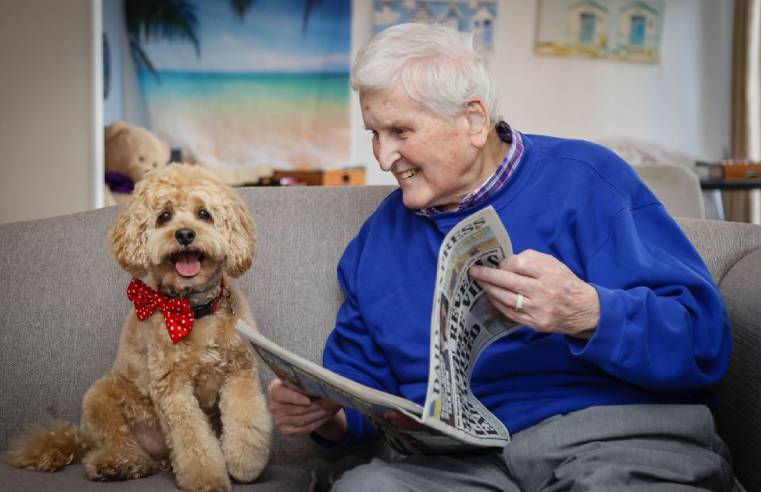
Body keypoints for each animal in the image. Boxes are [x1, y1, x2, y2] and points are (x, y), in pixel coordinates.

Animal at [6, 164, 274, 488]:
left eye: (204, 214)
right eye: (164, 216)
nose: (185, 234)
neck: (193, 310)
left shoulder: (240, 370)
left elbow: (247, 418)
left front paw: (244, 463)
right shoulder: (172, 389)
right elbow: (193, 440)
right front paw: (206, 479)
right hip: (100, 397)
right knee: (115, 444)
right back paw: (116, 465)